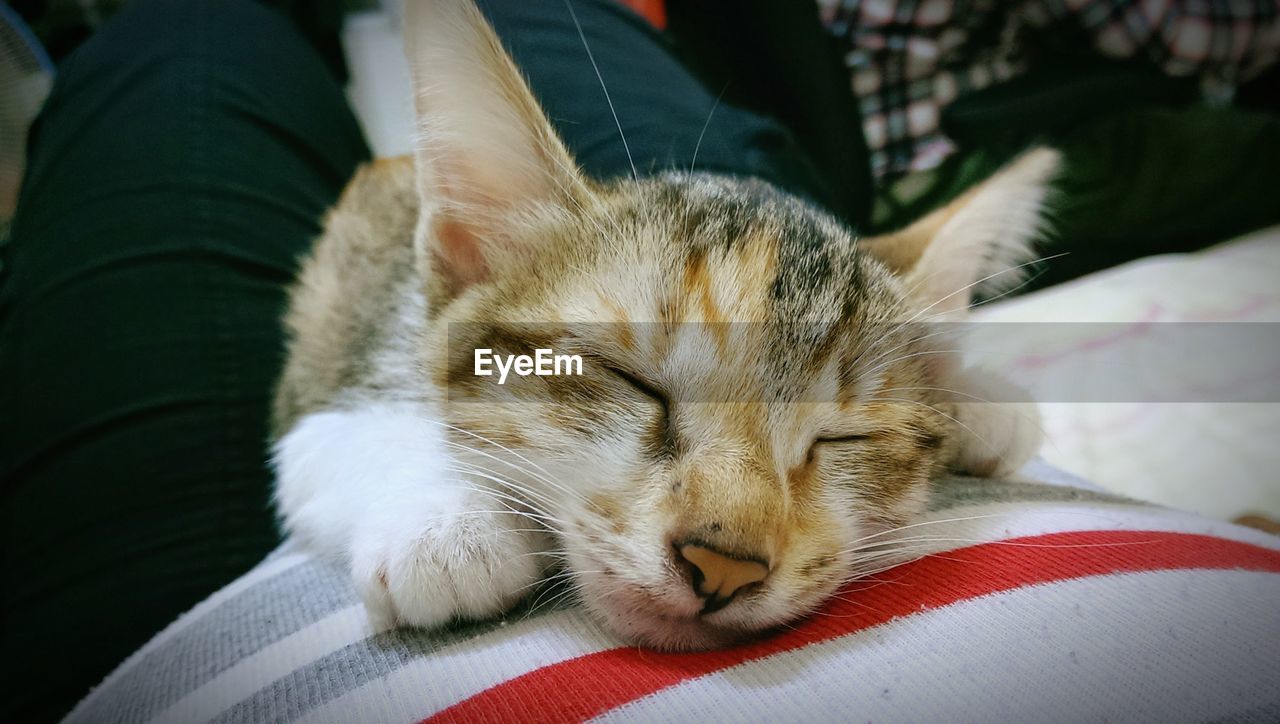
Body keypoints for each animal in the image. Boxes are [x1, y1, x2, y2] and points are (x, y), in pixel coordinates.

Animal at [270, 0, 1049, 649]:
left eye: (842, 437)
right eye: (633, 382)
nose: (724, 566)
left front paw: (974, 395)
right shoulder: (329, 394)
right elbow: (334, 442)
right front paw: (446, 519)